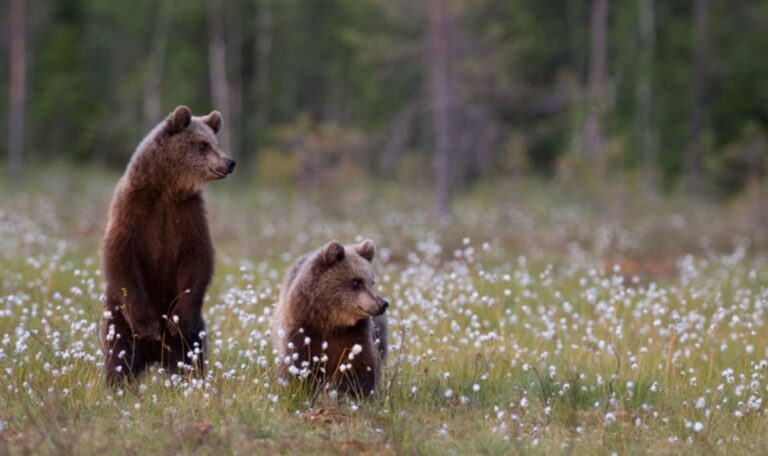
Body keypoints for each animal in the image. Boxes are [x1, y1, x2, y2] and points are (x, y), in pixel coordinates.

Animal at [100, 105, 235, 385]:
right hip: (118, 322)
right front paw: (148, 325)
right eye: (203, 144)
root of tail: (154, 355)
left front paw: (177, 320)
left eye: (216, 142)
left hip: (188, 340)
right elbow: (121, 255)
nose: (229, 162)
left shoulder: (189, 215)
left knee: (190, 359)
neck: (167, 189)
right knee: (119, 357)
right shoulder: (133, 210)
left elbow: (197, 259)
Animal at [272, 239, 389, 399]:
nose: (382, 304)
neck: (331, 320)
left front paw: (355, 394)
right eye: (356, 282)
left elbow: (361, 364)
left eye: (372, 282)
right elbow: (299, 359)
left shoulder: (355, 334)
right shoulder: (303, 326)